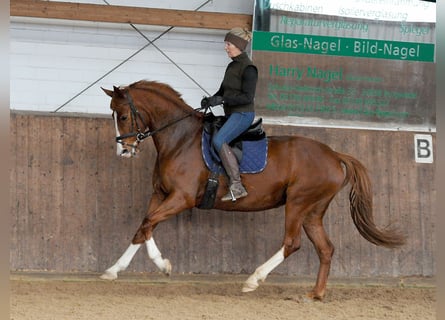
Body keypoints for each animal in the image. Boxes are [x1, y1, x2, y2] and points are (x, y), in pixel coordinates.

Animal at [101, 80, 406, 300]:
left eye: (124, 116)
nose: (123, 151)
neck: (180, 139)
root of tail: (334, 154)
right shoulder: (160, 194)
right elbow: (143, 227)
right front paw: (113, 271)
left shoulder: (181, 198)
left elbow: (149, 223)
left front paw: (163, 265)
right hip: (312, 211)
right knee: (326, 249)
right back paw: (316, 294)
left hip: (298, 203)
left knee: (292, 243)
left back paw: (253, 280)